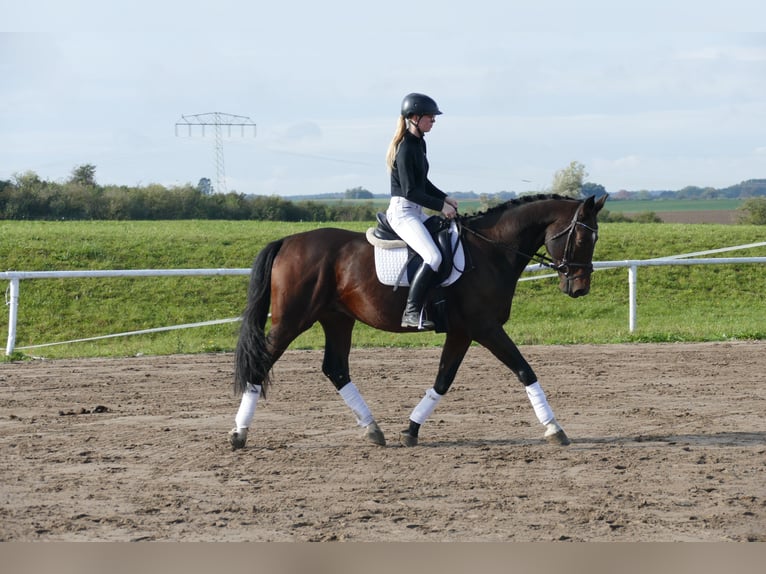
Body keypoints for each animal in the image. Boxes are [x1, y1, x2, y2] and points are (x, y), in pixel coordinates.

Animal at [228, 194, 608, 450]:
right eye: (581, 237)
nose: (579, 288)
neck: (492, 249)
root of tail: (287, 241)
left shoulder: (462, 331)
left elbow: (443, 379)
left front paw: (411, 429)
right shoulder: (485, 327)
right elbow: (524, 370)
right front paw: (554, 428)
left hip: (337, 320)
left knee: (336, 369)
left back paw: (373, 429)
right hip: (293, 320)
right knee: (262, 363)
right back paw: (238, 433)